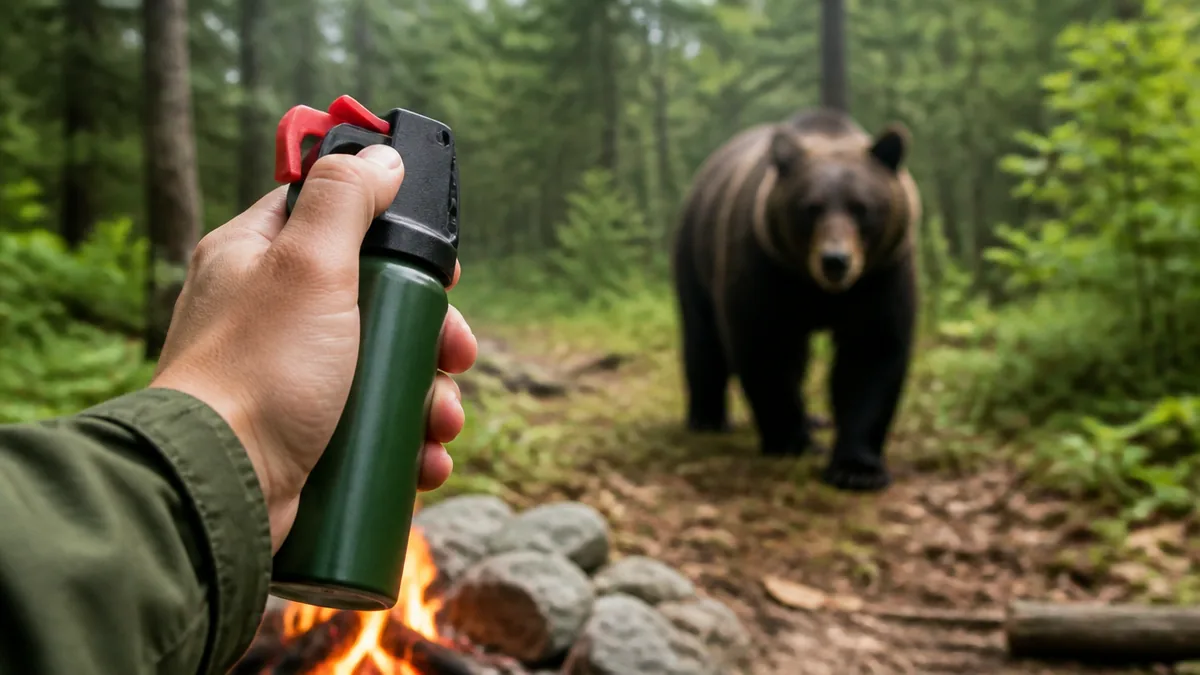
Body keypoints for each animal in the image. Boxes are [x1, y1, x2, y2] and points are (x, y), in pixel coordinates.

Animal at [668, 107, 921, 491]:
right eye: (811, 208)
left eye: (861, 207)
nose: (835, 261)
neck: (817, 289)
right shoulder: (767, 269)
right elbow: (765, 348)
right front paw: (793, 441)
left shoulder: (880, 275)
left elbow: (871, 353)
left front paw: (857, 468)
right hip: (695, 252)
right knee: (703, 336)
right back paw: (708, 418)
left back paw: (815, 418)